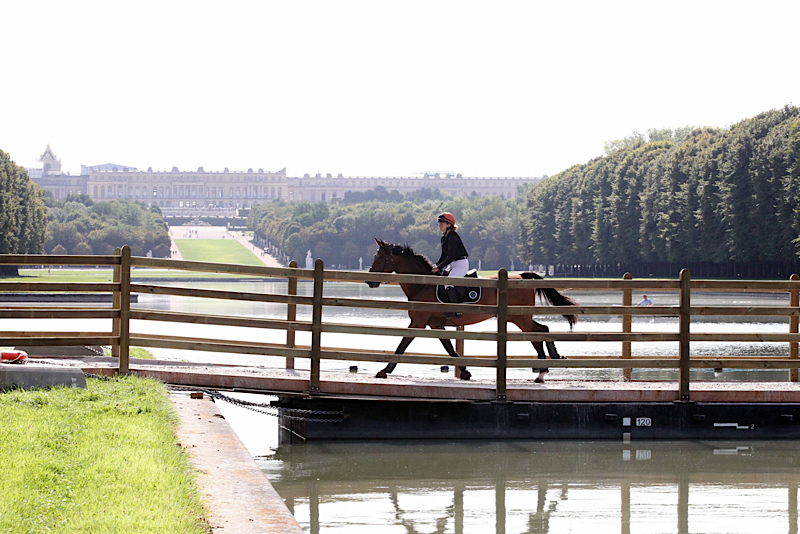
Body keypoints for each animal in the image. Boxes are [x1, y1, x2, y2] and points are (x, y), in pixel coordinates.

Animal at [366, 241, 580, 384]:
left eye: (381, 258)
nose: (370, 281)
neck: (422, 284)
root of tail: (521, 276)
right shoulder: (435, 324)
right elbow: (449, 348)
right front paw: (465, 372)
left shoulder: (418, 323)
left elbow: (402, 345)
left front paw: (384, 370)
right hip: (519, 317)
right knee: (540, 331)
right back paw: (545, 367)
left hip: (519, 317)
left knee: (538, 333)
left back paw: (543, 370)